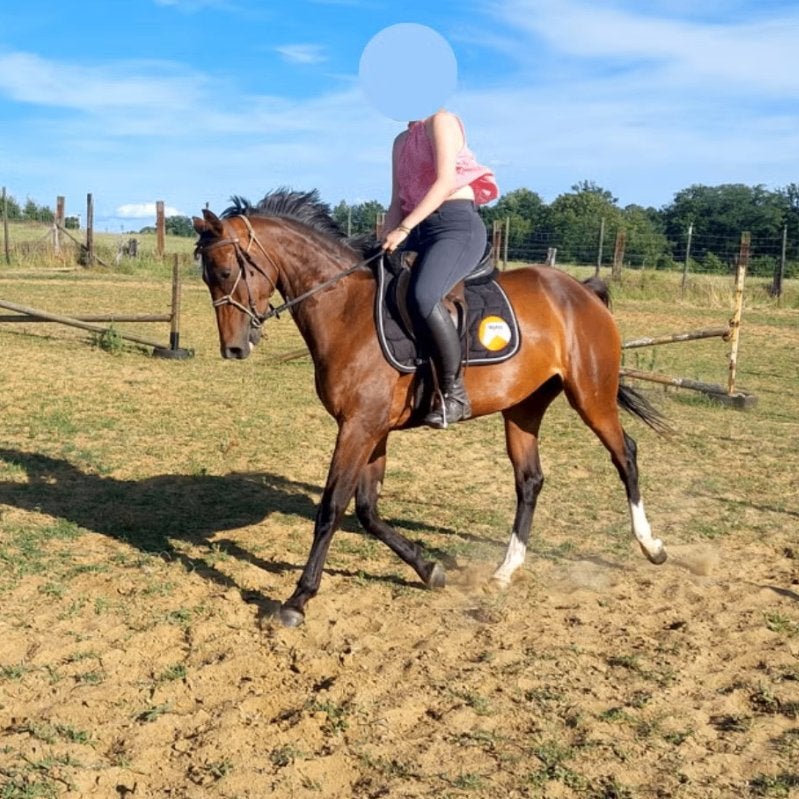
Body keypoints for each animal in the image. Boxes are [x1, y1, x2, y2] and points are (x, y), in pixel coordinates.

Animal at [193, 189, 669, 627]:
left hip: (591, 395)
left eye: (225, 271)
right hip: (523, 406)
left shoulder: (358, 427)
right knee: (529, 480)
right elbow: (367, 509)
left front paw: (297, 600)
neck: (346, 309)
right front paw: (429, 569)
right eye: (206, 277)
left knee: (625, 454)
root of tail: (580, 291)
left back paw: (651, 546)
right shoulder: (372, 429)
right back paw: (505, 570)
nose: (233, 348)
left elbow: (332, 507)